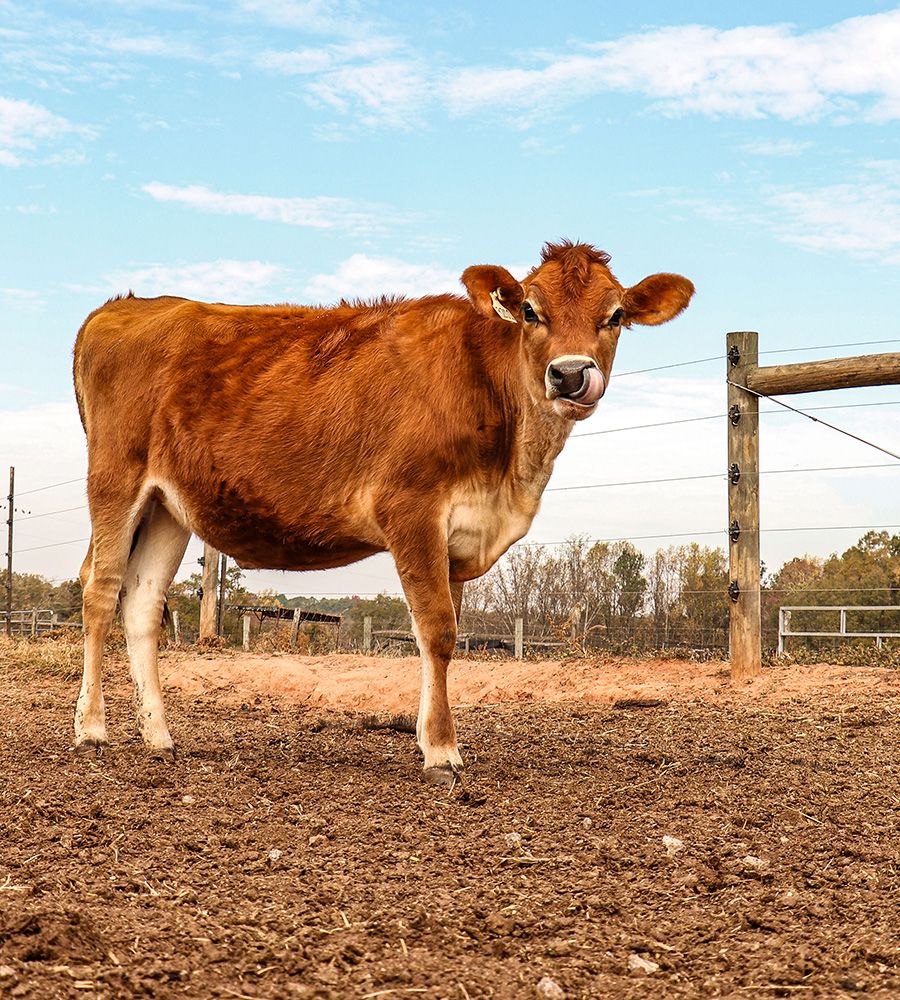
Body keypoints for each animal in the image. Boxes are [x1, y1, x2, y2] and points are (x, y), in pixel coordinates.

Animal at [72, 241, 693, 783]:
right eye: (530, 311)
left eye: (615, 315)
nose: (569, 374)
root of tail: (122, 306)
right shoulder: (412, 508)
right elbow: (437, 631)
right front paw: (441, 751)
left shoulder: (458, 535)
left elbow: (442, 633)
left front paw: (428, 738)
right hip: (115, 480)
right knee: (100, 591)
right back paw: (91, 729)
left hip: (167, 505)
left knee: (142, 605)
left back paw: (158, 736)